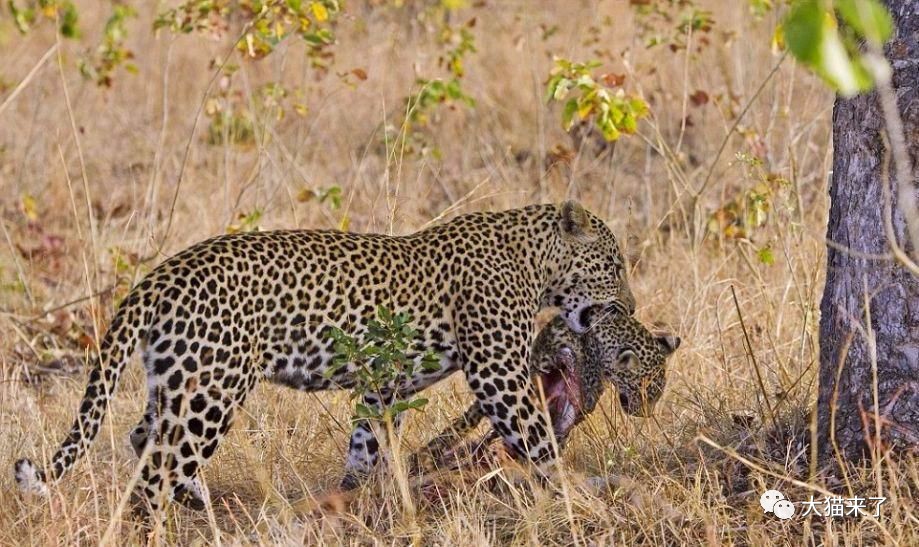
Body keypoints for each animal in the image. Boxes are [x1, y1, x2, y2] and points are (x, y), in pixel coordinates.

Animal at [14, 200, 636, 512]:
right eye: (615, 264)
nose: (630, 305)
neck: (535, 260)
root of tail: (161, 274)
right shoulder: (498, 371)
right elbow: (538, 439)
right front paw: (577, 492)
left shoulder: (383, 386)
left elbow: (367, 444)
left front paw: (352, 498)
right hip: (213, 387)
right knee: (158, 468)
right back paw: (165, 519)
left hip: (179, 377)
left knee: (147, 440)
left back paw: (199, 504)